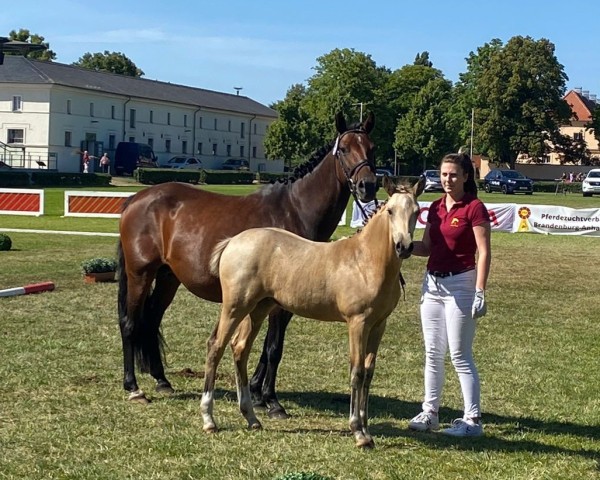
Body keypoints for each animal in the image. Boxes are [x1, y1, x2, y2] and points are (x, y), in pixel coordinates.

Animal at [204, 177, 424, 450]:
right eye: (391, 211)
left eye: (417, 211)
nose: (404, 246)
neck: (365, 261)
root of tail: (232, 242)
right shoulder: (358, 323)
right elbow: (357, 372)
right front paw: (358, 433)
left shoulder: (378, 325)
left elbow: (369, 373)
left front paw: (367, 428)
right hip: (235, 307)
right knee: (216, 346)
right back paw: (209, 420)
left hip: (258, 308)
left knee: (240, 348)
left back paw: (251, 418)